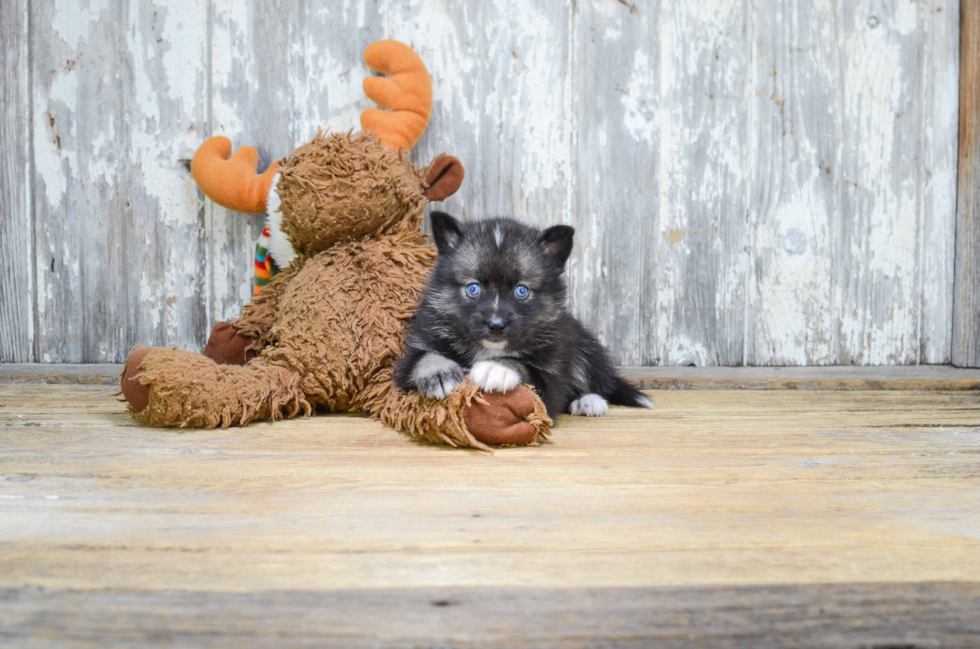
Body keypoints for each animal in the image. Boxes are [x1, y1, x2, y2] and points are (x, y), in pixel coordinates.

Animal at [394, 213, 656, 416]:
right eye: (473, 288)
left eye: (522, 291)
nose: (496, 324)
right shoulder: (416, 348)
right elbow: (423, 358)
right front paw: (438, 371)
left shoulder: (551, 374)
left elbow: (525, 367)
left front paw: (497, 367)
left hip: (583, 343)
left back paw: (588, 401)